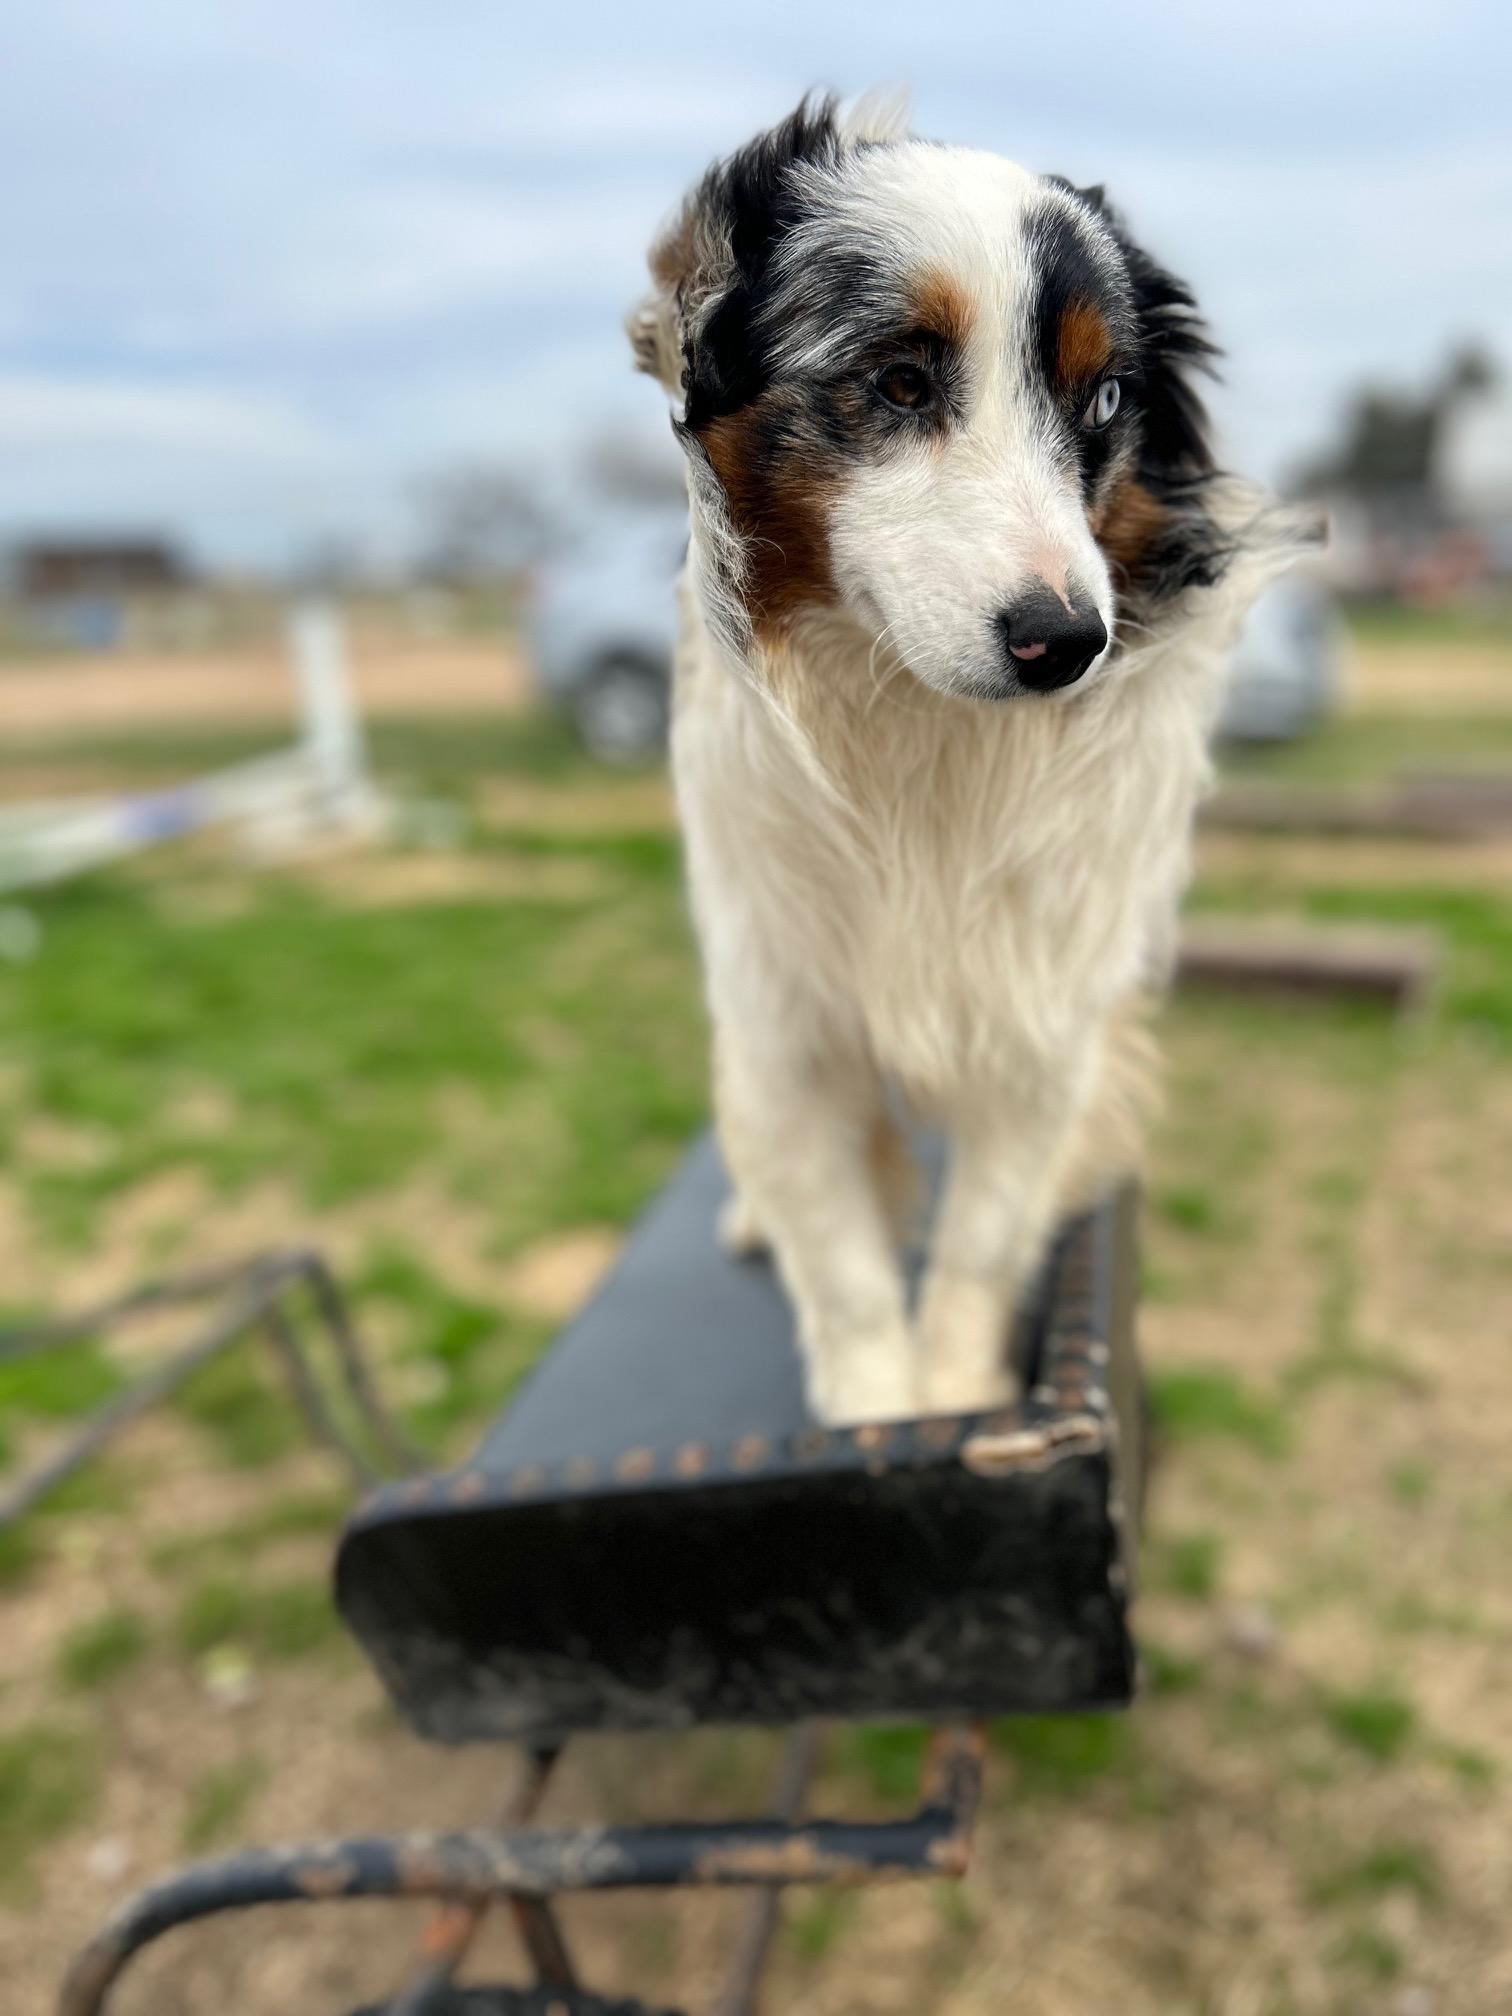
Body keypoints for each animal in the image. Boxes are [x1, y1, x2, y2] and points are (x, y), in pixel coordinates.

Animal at [630, 93, 1311, 1426]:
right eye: (896, 380)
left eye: (1105, 400)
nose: (1069, 645)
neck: (921, 729)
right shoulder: (785, 1017)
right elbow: (842, 1262)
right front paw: (878, 1414)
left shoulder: (1043, 1026)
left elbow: (984, 1238)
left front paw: (955, 1391)